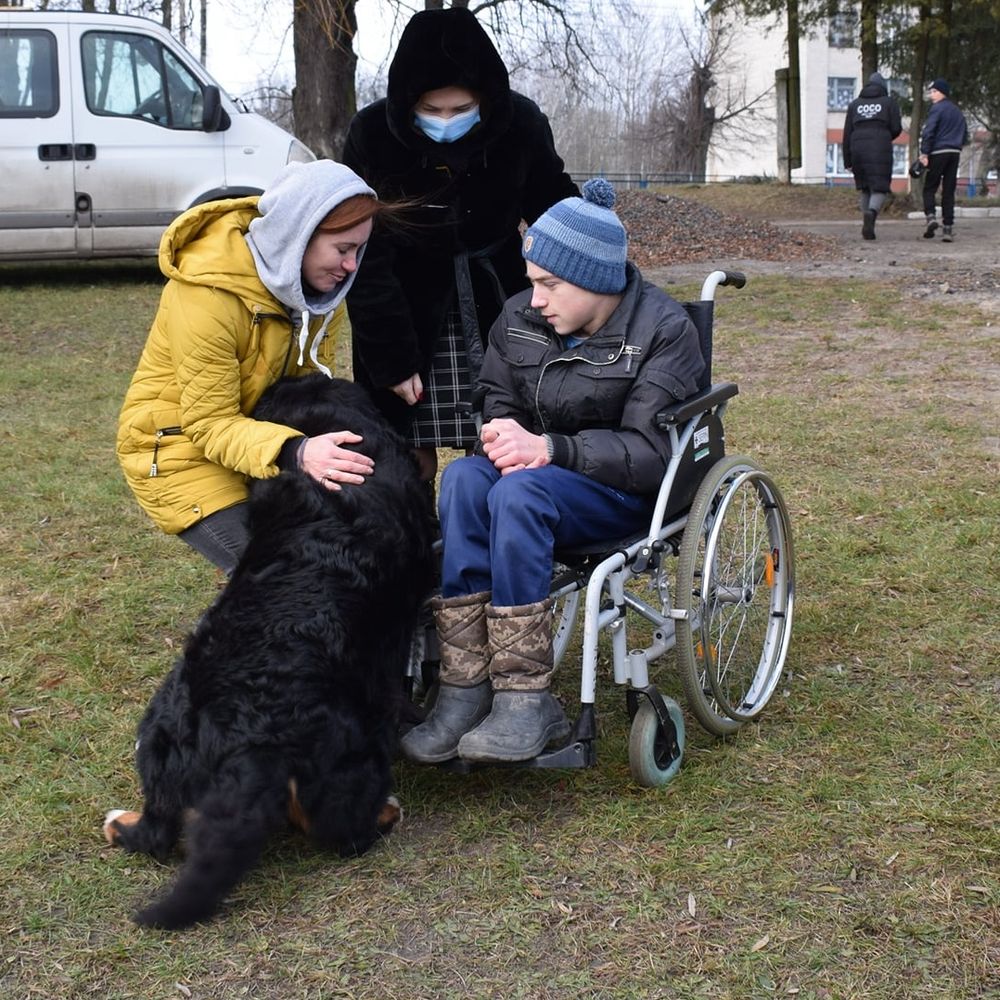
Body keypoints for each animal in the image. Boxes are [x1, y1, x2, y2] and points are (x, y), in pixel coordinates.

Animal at [103, 374, 436, 928]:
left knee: (155, 834)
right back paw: (386, 811)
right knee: (341, 833)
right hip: (354, 748)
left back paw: (117, 822)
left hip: (154, 741)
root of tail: (242, 730)